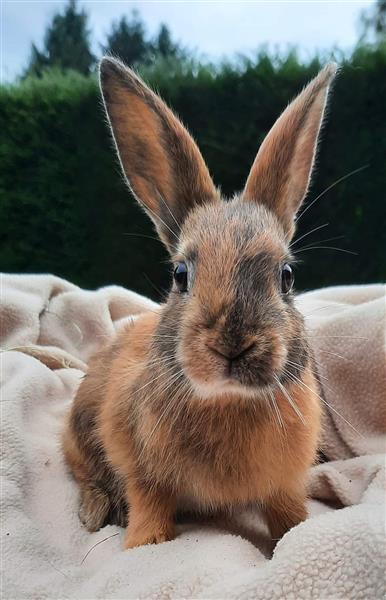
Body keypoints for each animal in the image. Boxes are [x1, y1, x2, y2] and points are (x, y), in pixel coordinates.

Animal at [62, 58, 334, 552]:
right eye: (180, 275)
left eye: (286, 276)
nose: (232, 344)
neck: (227, 400)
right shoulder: (141, 470)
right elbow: (148, 504)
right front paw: (145, 543)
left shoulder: (285, 483)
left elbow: (288, 514)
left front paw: (295, 534)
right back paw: (95, 512)